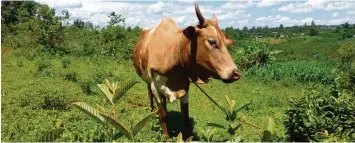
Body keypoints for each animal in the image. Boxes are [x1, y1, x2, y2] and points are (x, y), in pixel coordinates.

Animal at [134, 1, 242, 139]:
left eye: (226, 43)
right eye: (212, 41)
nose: (236, 73)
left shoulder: (184, 87)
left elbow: (185, 118)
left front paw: (187, 137)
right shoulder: (155, 87)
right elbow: (163, 115)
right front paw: (166, 137)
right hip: (147, 82)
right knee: (150, 95)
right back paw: (152, 110)